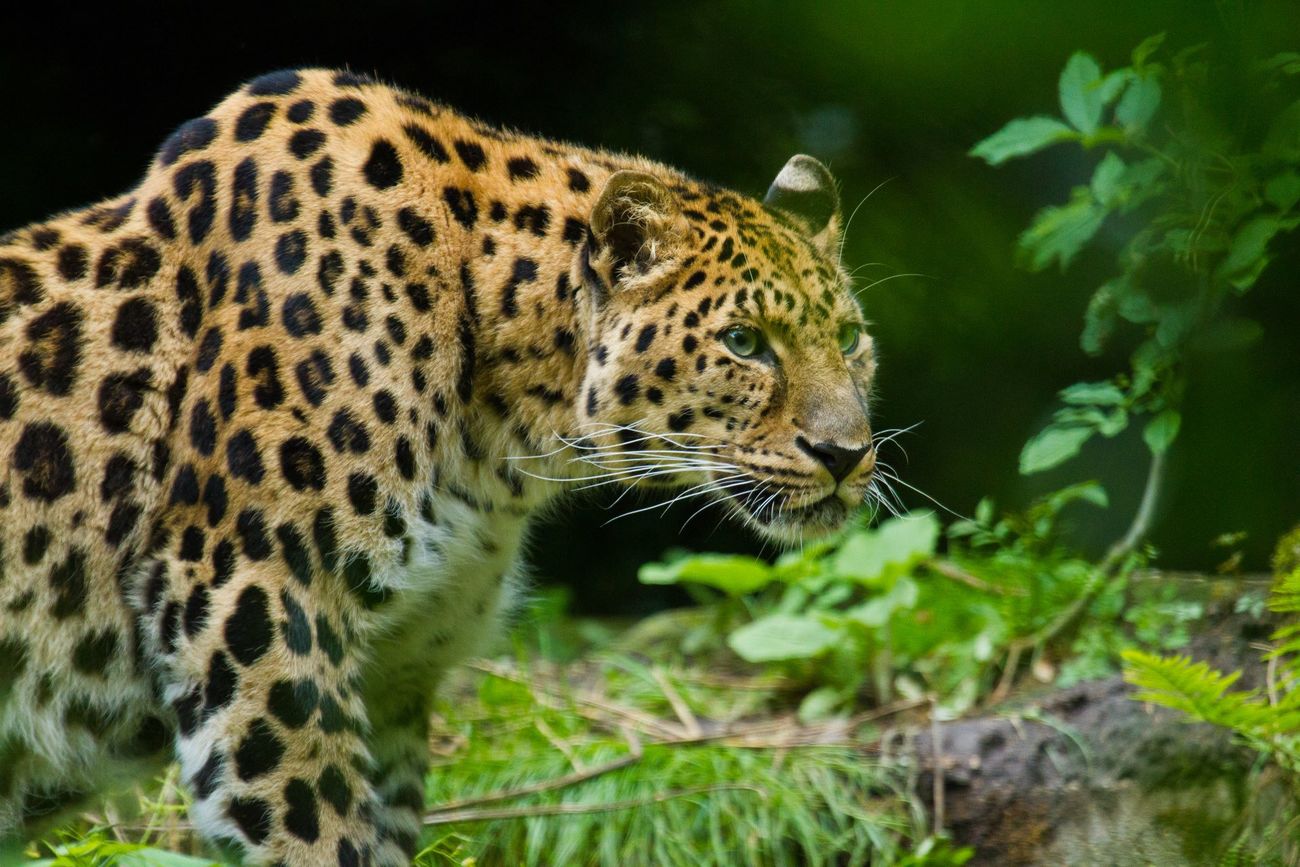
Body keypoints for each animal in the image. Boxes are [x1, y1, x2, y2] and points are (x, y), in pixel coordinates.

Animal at [0, 69, 878, 867]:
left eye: (849, 337)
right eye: (744, 343)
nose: (846, 454)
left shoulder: (396, 675)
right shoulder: (249, 607)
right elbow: (317, 832)